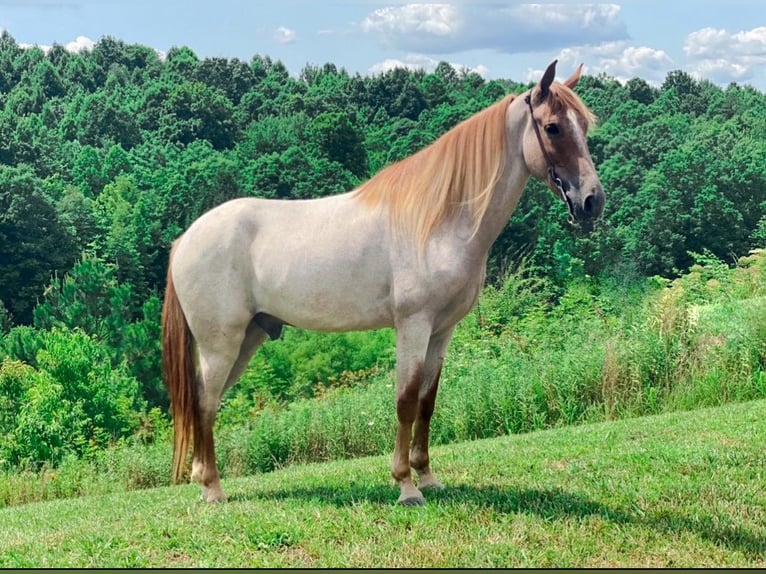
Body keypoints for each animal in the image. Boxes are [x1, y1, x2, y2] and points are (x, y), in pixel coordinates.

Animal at [160, 60, 608, 506]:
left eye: (584, 125)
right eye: (553, 127)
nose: (592, 201)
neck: (441, 220)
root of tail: (185, 240)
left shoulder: (442, 330)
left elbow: (427, 402)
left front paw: (427, 477)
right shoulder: (413, 325)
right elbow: (406, 401)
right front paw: (406, 486)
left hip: (247, 339)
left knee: (207, 402)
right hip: (221, 344)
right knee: (205, 403)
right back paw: (213, 489)